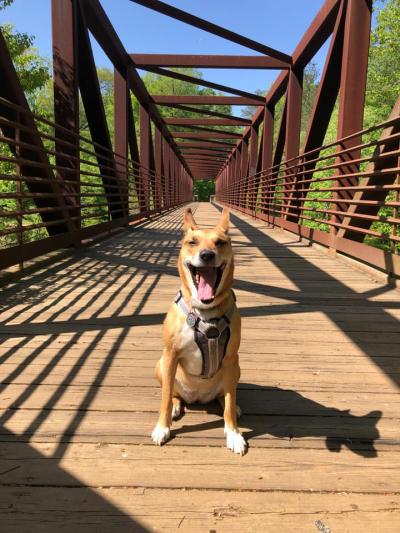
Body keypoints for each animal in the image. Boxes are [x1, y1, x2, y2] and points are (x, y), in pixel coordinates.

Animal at [151, 206, 247, 456]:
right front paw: (162, 428)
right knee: (173, 393)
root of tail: (198, 398)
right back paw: (177, 405)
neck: (204, 312)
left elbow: (229, 402)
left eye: (220, 242)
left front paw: (234, 434)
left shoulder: (231, 358)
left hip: (236, 368)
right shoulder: (170, 355)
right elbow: (165, 398)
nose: (206, 255)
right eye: (192, 242)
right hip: (161, 365)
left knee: (227, 395)